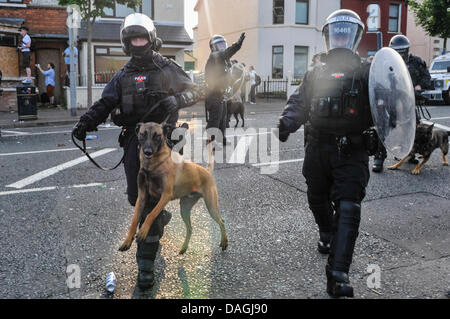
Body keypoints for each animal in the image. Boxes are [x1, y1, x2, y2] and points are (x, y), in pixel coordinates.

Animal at [118, 122, 229, 255]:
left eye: (157, 136)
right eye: (142, 135)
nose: (147, 152)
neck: (153, 166)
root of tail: (207, 171)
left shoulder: (166, 195)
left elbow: (151, 214)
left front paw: (144, 231)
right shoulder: (142, 197)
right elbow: (134, 220)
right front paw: (127, 241)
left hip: (211, 206)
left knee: (221, 221)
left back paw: (224, 242)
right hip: (184, 209)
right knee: (190, 228)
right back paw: (184, 247)